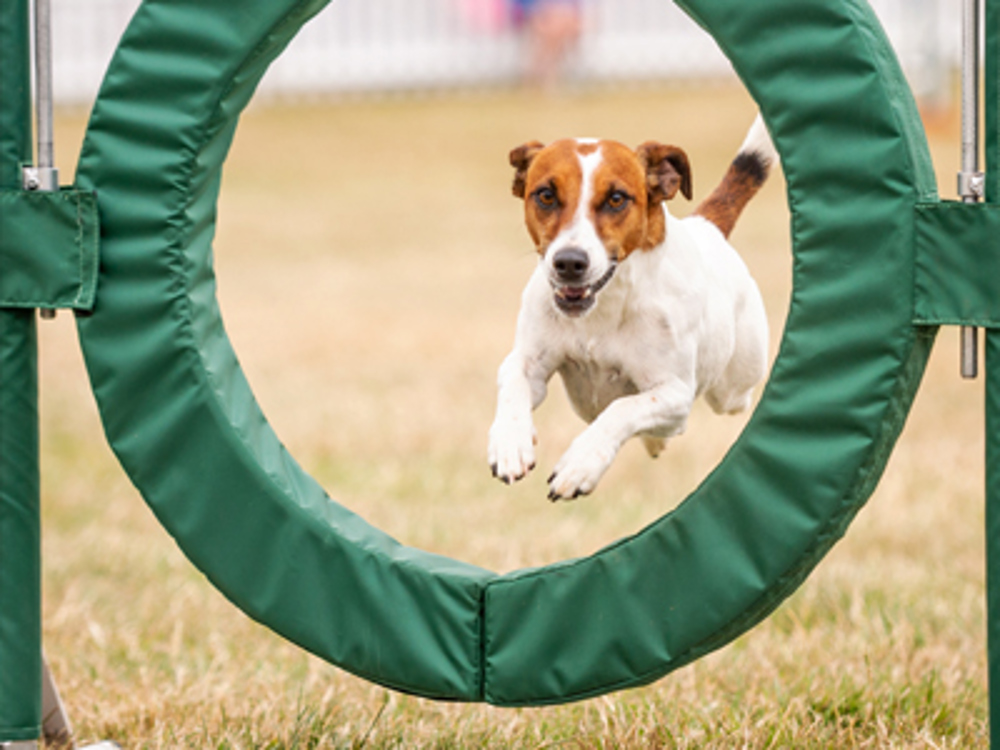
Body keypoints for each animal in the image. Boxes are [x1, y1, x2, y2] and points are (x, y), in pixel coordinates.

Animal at [488, 117, 776, 502]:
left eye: (616, 199)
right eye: (546, 195)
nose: (569, 262)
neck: (601, 311)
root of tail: (705, 227)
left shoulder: (675, 393)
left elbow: (622, 408)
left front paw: (580, 465)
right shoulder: (529, 361)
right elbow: (514, 382)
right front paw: (510, 443)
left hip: (734, 386)